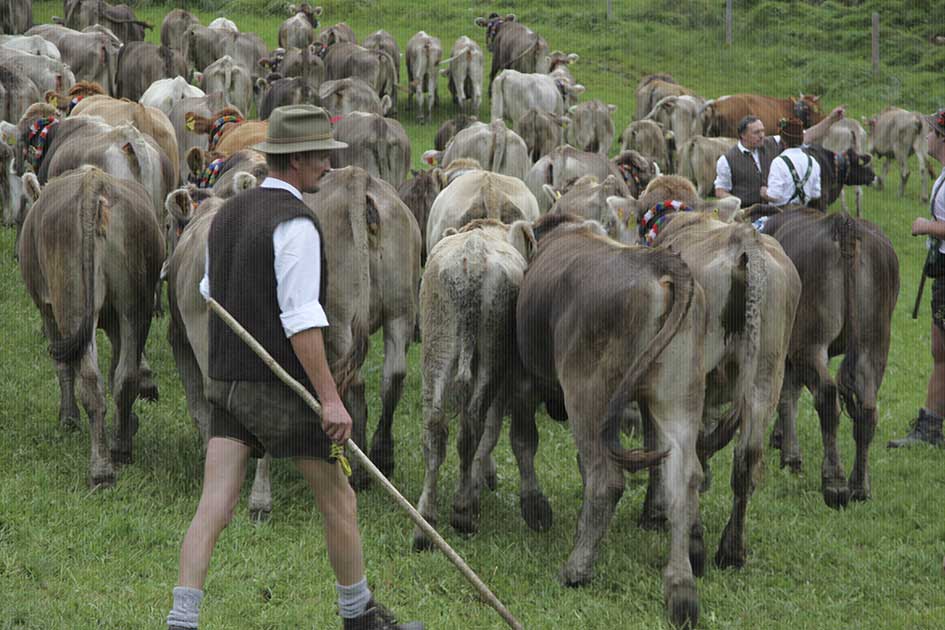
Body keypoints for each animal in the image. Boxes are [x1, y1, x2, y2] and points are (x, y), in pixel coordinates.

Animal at [18, 167, 164, 488]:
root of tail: (93, 182)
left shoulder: (47, 310)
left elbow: (63, 367)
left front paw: (68, 417)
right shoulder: (115, 320)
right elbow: (117, 367)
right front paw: (130, 423)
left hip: (69, 303)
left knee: (89, 382)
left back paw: (101, 470)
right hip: (134, 305)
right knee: (125, 377)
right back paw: (120, 447)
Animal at [760, 210, 900, 512]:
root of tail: (845, 227)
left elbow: (786, 396)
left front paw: (789, 454)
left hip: (809, 341)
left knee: (826, 394)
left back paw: (834, 483)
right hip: (874, 343)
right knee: (867, 408)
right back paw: (859, 486)